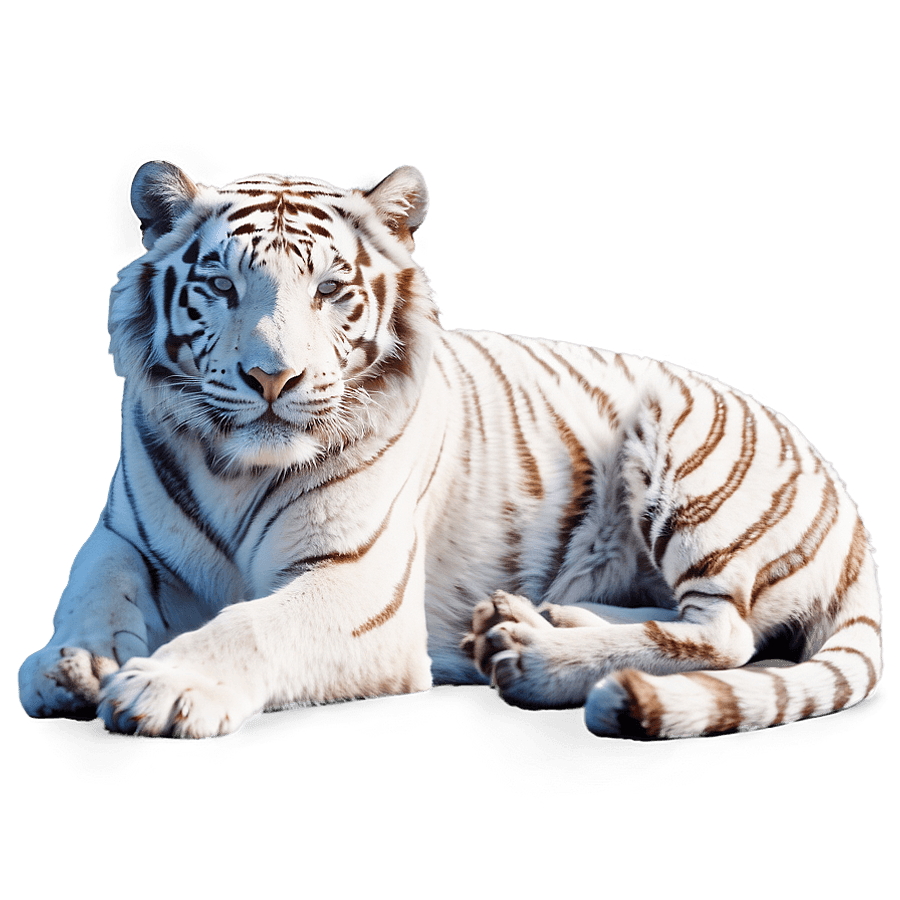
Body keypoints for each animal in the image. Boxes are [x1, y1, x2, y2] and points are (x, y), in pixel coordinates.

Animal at [17, 160, 883, 740]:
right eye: (222, 287)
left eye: (329, 291)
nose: (271, 377)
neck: (235, 467)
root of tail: (850, 508)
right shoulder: (121, 537)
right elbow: (91, 585)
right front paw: (73, 663)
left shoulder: (358, 586)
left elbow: (250, 625)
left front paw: (161, 684)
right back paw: (528, 619)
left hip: (686, 451)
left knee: (725, 633)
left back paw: (528, 653)